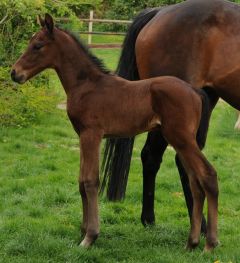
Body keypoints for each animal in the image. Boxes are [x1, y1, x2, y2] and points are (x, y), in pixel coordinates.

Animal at [10, 13, 218, 252]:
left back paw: (210, 243)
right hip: (180, 140)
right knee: (195, 182)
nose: (14, 73)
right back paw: (191, 243)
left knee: (208, 175)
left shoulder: (92, 134)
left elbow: (90, 181)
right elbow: (81, 182)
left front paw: (90, 236)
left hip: (181, 138)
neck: (87, 85)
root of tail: (194, 90)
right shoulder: (82, 136)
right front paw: (82, 230)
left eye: (38, 45)